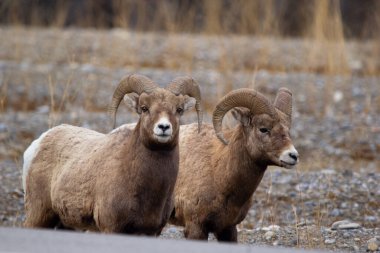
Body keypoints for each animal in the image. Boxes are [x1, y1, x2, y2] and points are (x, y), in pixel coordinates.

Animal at [22, 74, 202, 236]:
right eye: (144, 108)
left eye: (179, 110)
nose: (163, 127)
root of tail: (38, 143)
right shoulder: (111, 227)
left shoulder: (152, 232)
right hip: (39, 215)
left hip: (65, 223)